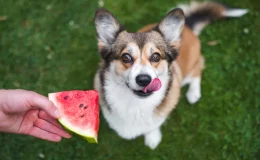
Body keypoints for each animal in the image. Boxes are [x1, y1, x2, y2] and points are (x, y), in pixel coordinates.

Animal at [94, 1, 248, 149]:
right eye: (126, 57)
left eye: (156, 56)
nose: (144, 80)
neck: (135, 103)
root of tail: (187, 26)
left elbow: (153, 126)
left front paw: (152, 138)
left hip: (190, 69)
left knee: (198, 70)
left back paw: (193, 93)